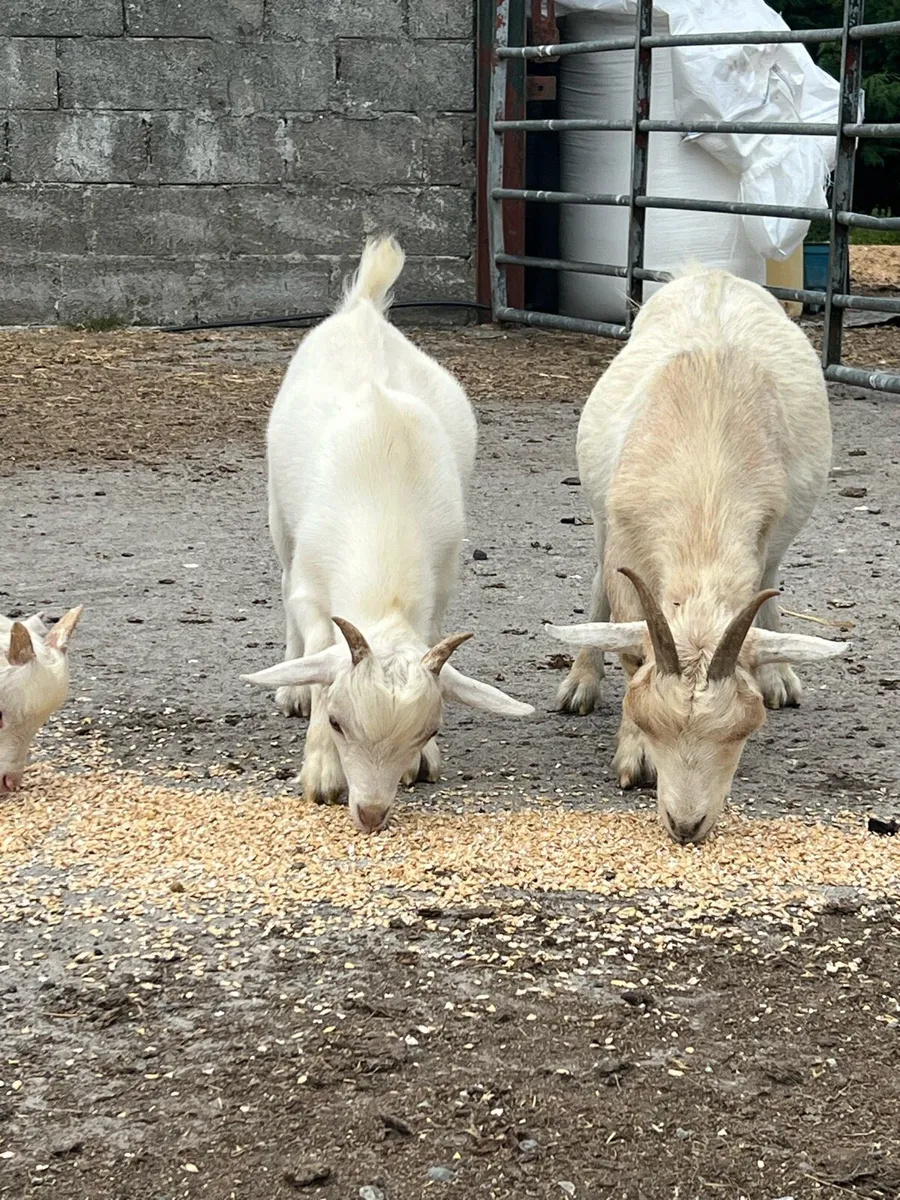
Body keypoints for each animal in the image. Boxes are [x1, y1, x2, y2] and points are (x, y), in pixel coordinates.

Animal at [243, 235, 533, 832]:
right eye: (338, 723)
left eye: (430, 729)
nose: (372, 813)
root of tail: (364, 310)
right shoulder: (313, 585)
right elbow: (316, 644)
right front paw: (321, 770)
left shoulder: (442, 579)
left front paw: (421, 764)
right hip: (280, 513)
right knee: (282, 584)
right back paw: (290, 688)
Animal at [548, 267, 848, 845]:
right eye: (649, 720)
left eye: (742, 732)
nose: (686, 825)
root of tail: (709, 273)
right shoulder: (625, 539)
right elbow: (627, 643)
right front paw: (635, 757)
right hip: (599, 513)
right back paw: (579, 682)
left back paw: (780, 675)